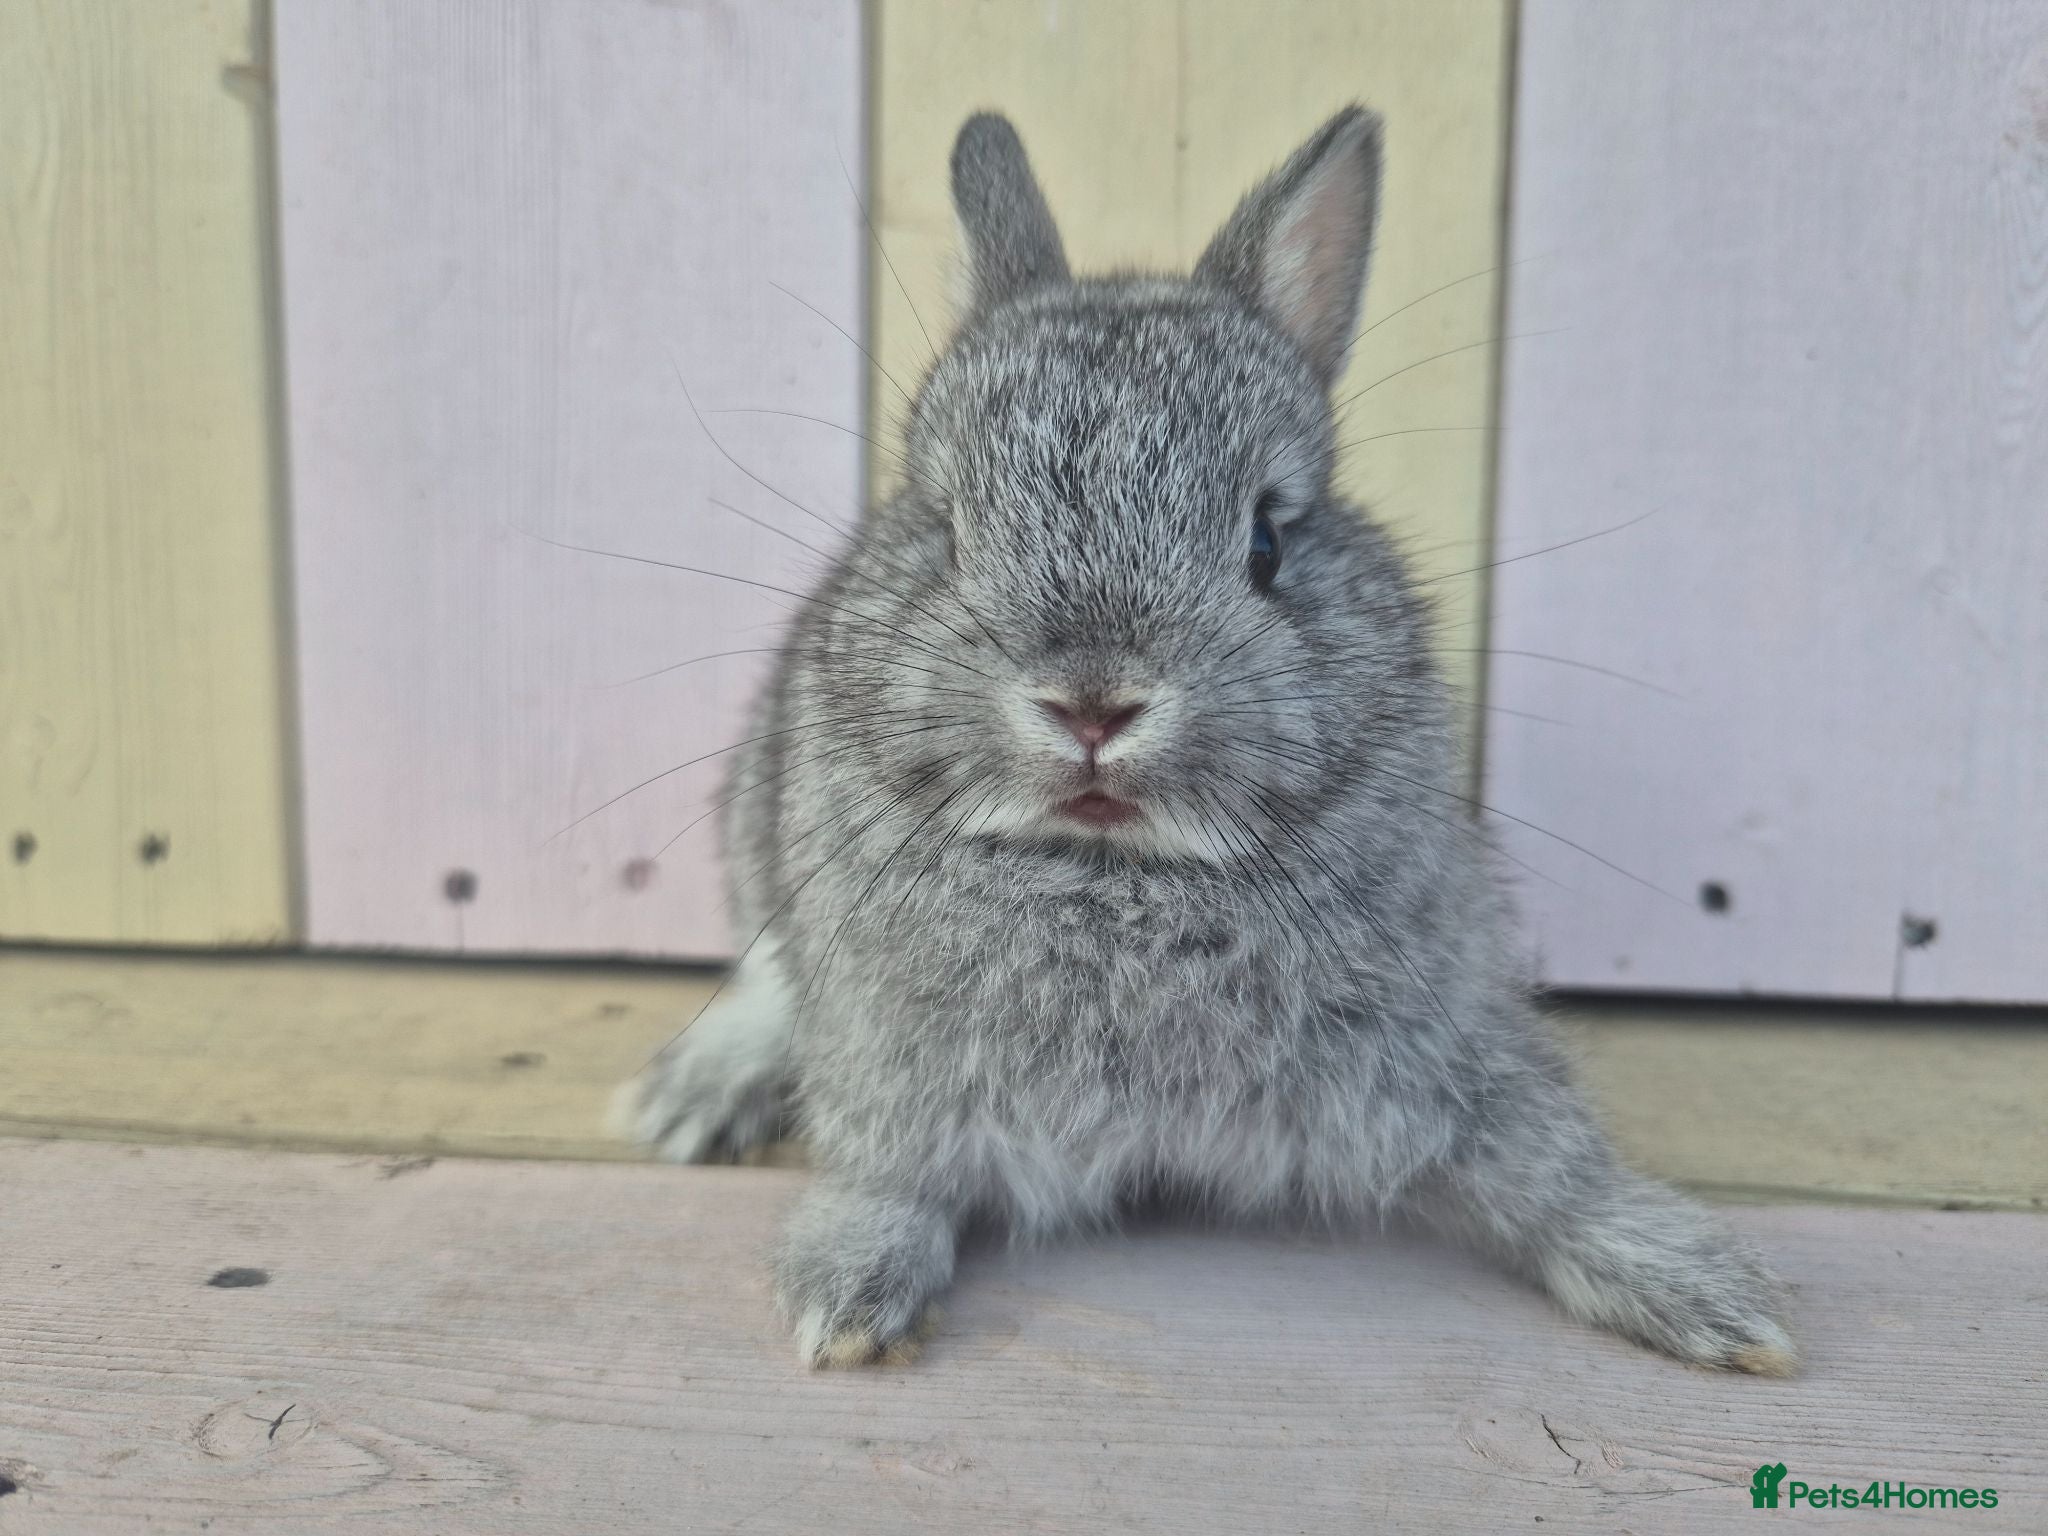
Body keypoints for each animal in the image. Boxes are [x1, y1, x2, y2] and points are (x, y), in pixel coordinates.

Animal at [616, 106, 1796, 1376]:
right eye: (948, 532)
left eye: (1267, 543)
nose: (1091, 701)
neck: (1115, 874)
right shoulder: (892, 1073)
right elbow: (887, 1180)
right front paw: (845, 1297)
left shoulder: (1442, 1048)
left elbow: (1547, 1166)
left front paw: (1710, 1296)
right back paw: (686, 1100)